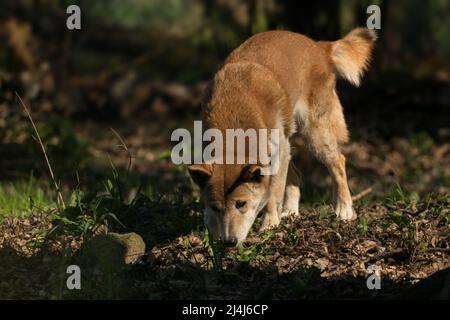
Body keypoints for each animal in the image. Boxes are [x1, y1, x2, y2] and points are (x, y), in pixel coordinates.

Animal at [190, 28, 376, 246]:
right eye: (216, 207)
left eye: (241, 204)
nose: (230, 242)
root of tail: (319, 46)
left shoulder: (275, 155)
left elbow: (272, 193)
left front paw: (269, 224)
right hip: (290, 142)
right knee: (295, 173)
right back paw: (290, 211)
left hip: (314, 134)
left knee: (338, 161)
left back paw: (344, 209)